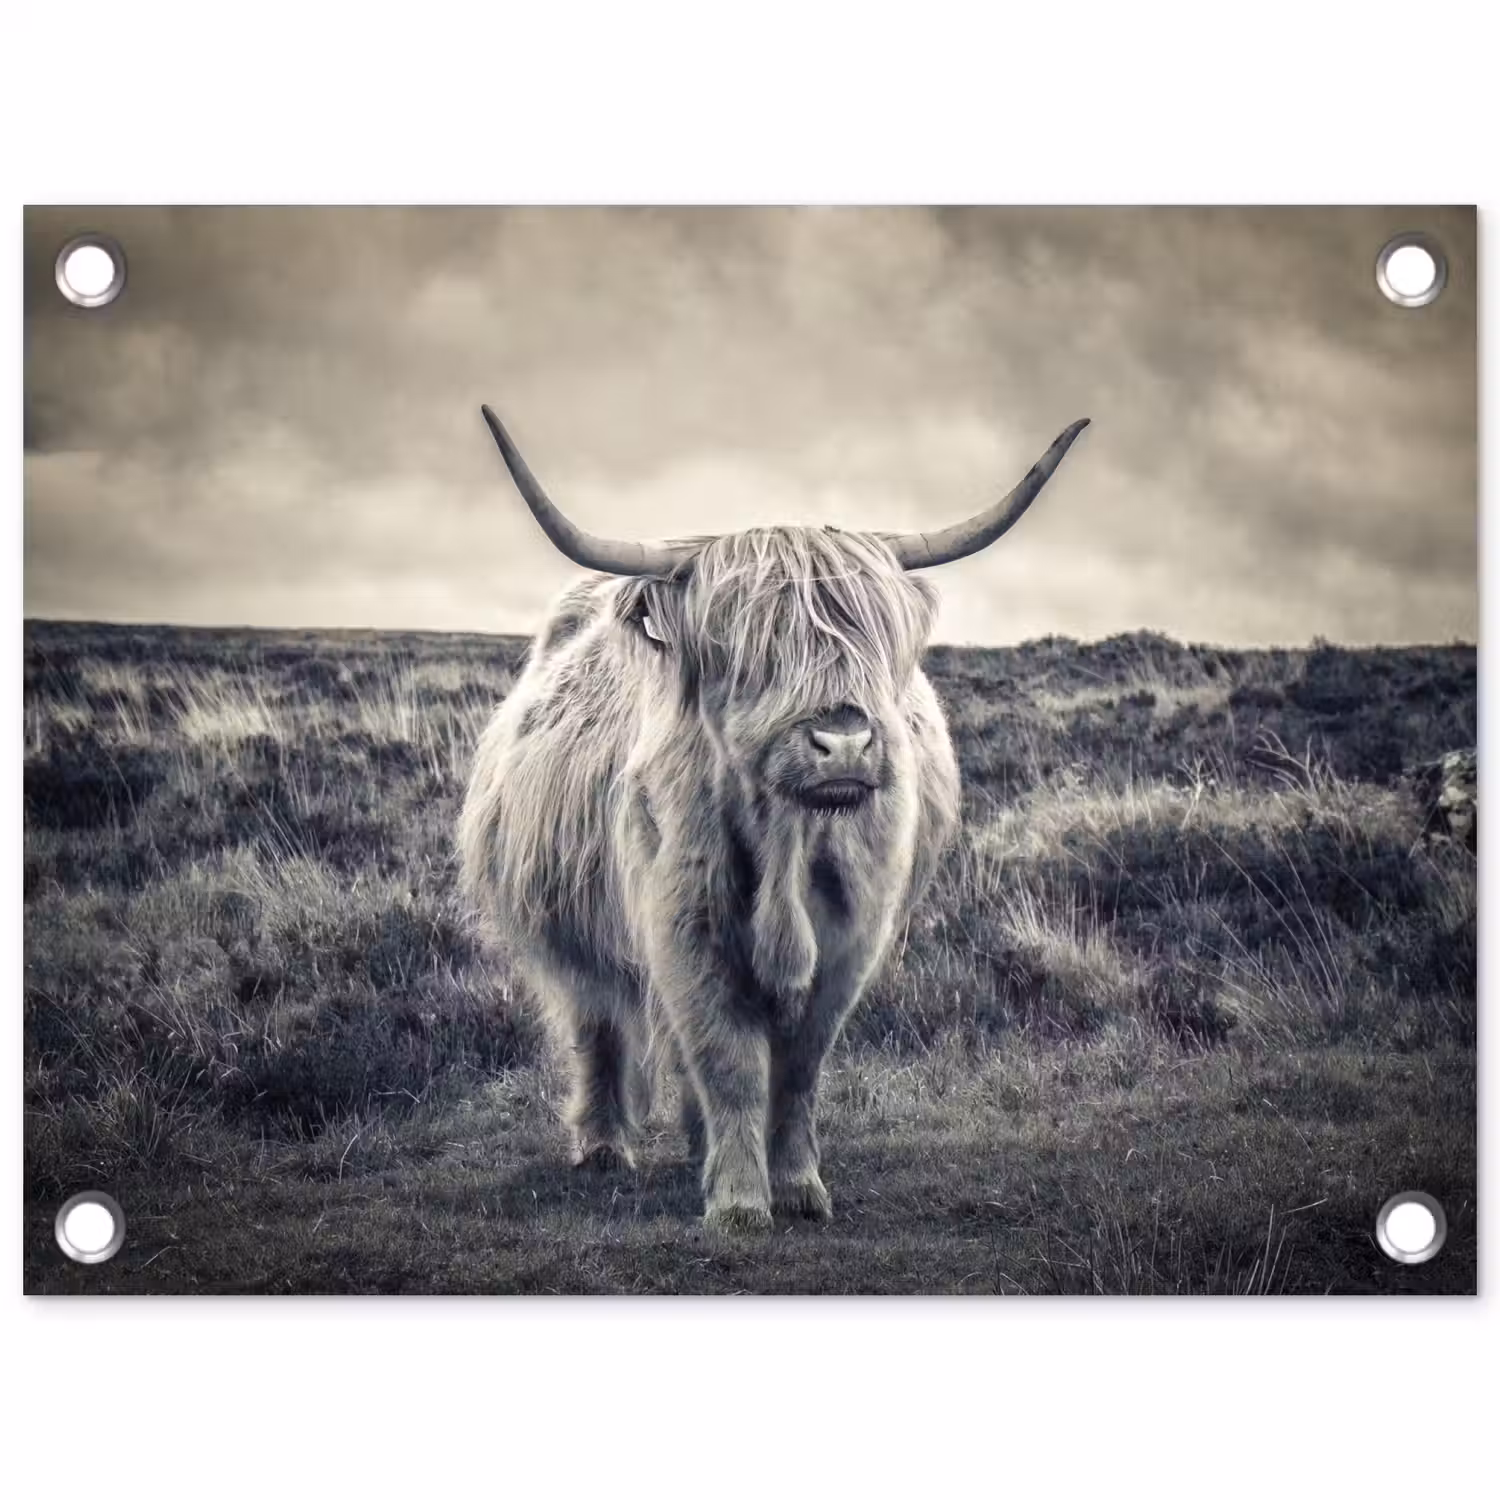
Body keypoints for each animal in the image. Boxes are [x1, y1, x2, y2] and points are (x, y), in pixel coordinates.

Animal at [459, 404, 1089, 1230]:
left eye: (871, 638)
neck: (789, 842)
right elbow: (727, 1059)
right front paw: (737, 1201)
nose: (843, 742)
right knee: (597, 1023)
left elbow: (797, 1068)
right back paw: (602, 1146)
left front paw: (796, 1186)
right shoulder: (684, 927)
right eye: (747, 650)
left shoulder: (852, 940)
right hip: (570, 929)